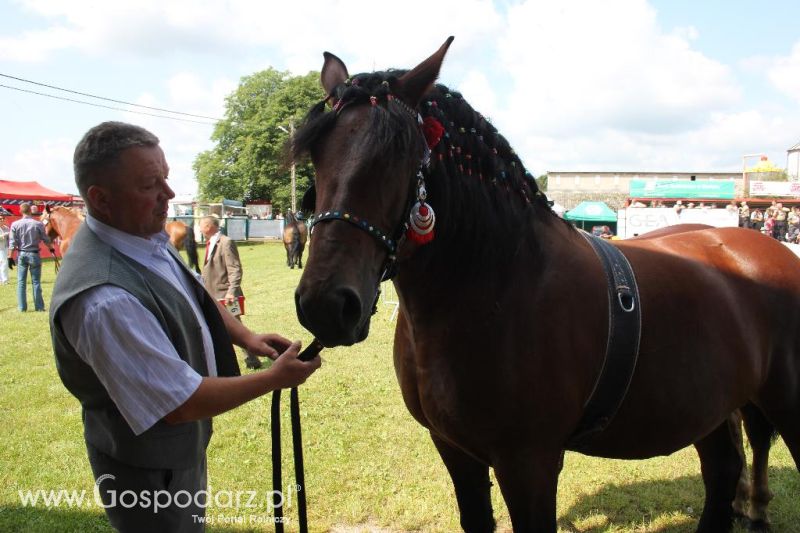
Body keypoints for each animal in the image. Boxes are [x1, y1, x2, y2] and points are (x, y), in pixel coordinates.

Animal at [294, 38, 800, 532]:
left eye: (398, 155)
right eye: (316, 156)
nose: (325, 305)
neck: (498, 287)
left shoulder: (529, 463)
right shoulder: (454, 450)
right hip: (710, 407)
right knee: (722, 470)